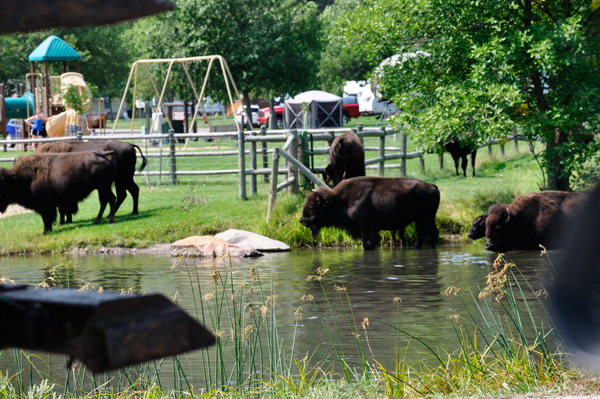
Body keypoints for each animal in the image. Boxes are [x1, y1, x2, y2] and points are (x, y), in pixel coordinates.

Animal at [300, 177, 440, 250]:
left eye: (312, 205)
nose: (302, 220)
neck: (340, 199)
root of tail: (434, 186)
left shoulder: (365, 225)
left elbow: (367, 243)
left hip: (424, 218)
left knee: (426, 234)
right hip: (425, 219)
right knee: (429, 233)